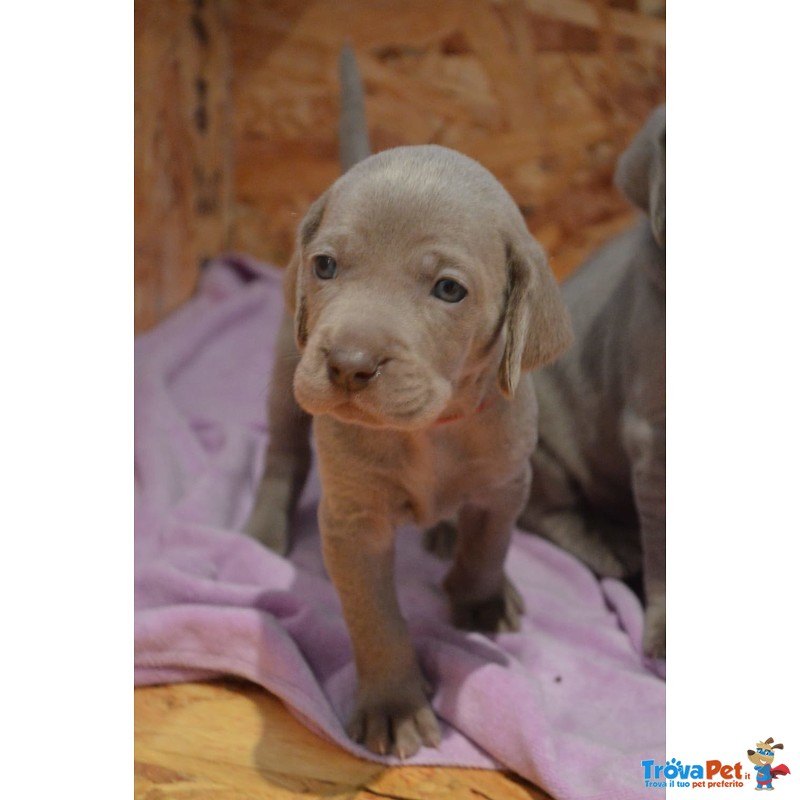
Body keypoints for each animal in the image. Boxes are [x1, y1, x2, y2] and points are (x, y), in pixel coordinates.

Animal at [247, 48, 572, 756]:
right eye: (326, 266)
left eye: (448, 289)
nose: (349, 365)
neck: (432, 429)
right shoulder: (353, 522)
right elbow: (375, 618)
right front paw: (395, 705)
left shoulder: (507, 481)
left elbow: (490, 543)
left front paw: (480, 601)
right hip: (287, 367)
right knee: (283, 451)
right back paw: (263, 524)